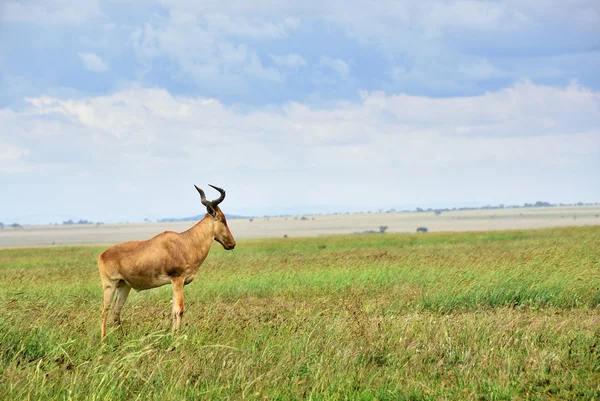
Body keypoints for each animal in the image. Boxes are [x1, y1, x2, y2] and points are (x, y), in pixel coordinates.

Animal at [97, 184, 236, 338]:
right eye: (223, 219)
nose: (232, 244)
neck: (185, 242)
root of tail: (102, 255)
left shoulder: (177, 282)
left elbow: (174, 310)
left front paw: (173, 334)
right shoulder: (177, 279)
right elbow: (179, 309)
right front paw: (177, 337)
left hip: (124, 286)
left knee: (116, 311)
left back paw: (121, 338)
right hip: (110, 285)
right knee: (104, 311)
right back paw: (104, 340)